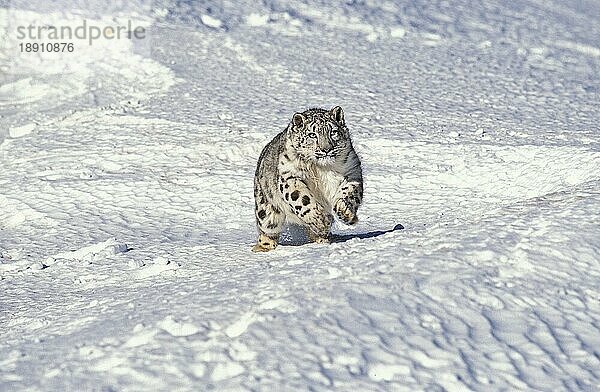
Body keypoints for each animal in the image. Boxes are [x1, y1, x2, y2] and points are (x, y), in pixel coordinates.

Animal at [252, 105, 364, 251]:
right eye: (312, 134)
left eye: (333, 132)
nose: (326, 149)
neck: (321, 169)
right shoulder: (290, 176)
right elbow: (301, 198)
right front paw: (320, 219)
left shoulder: (352, 170)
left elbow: (350, 191)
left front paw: (344, 212)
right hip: (266, 210)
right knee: (267, 230)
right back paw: (264, 248)